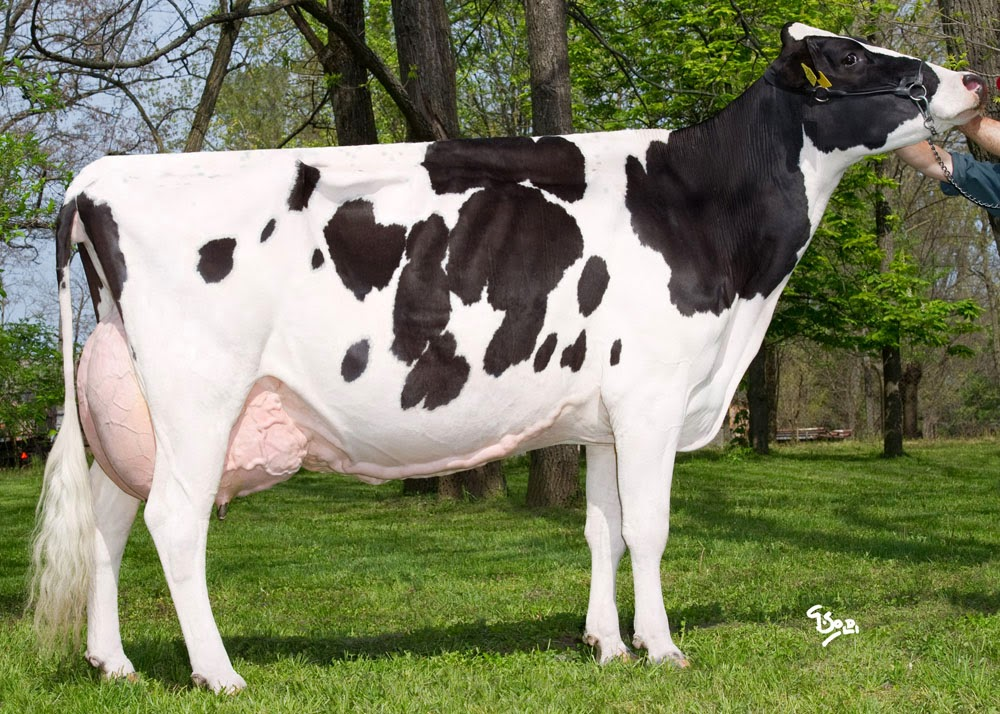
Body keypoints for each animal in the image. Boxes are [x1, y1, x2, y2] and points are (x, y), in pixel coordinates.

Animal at [31, 23, 983, 693]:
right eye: (859, 59)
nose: (974, 80)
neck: (709, 216)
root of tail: (98, 177)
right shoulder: (652, 396)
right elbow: (650, 527)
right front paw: (662, 648)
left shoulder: (602, 414)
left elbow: (603, 527)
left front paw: (606, 645)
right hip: (199, 395)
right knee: (173, 521)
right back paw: (219, 673)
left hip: (134, 401)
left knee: (113, 519)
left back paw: (115, 665)